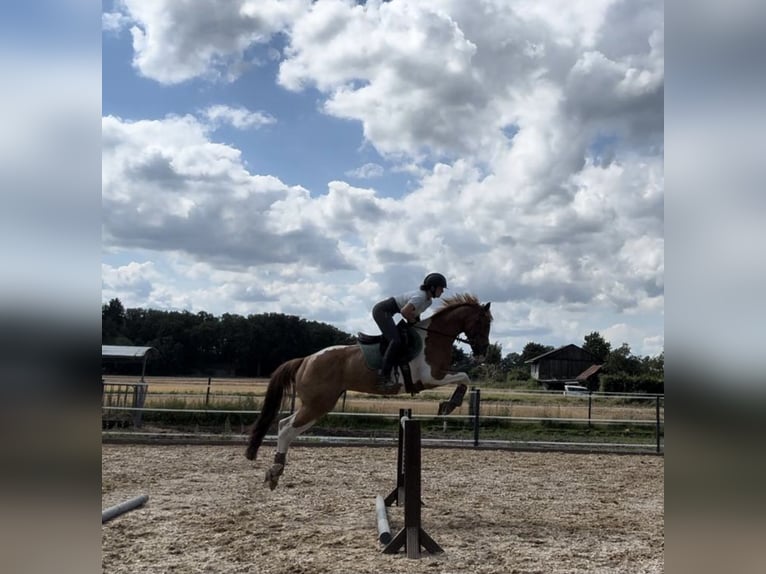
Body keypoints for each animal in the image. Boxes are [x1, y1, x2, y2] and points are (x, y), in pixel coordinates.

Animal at [249, 292, 496, 490]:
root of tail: (306, 360)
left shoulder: (437, 375)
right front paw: (450, 404)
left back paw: (276, 470)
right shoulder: (430, 377)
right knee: (286, 428)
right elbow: (464, 376)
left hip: (318, 405)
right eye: (483, 322)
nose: (483, 352)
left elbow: (464, 377)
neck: (434, 336)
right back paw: (275, 471)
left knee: (285, 425)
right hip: (317, 404)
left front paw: (448, 404)